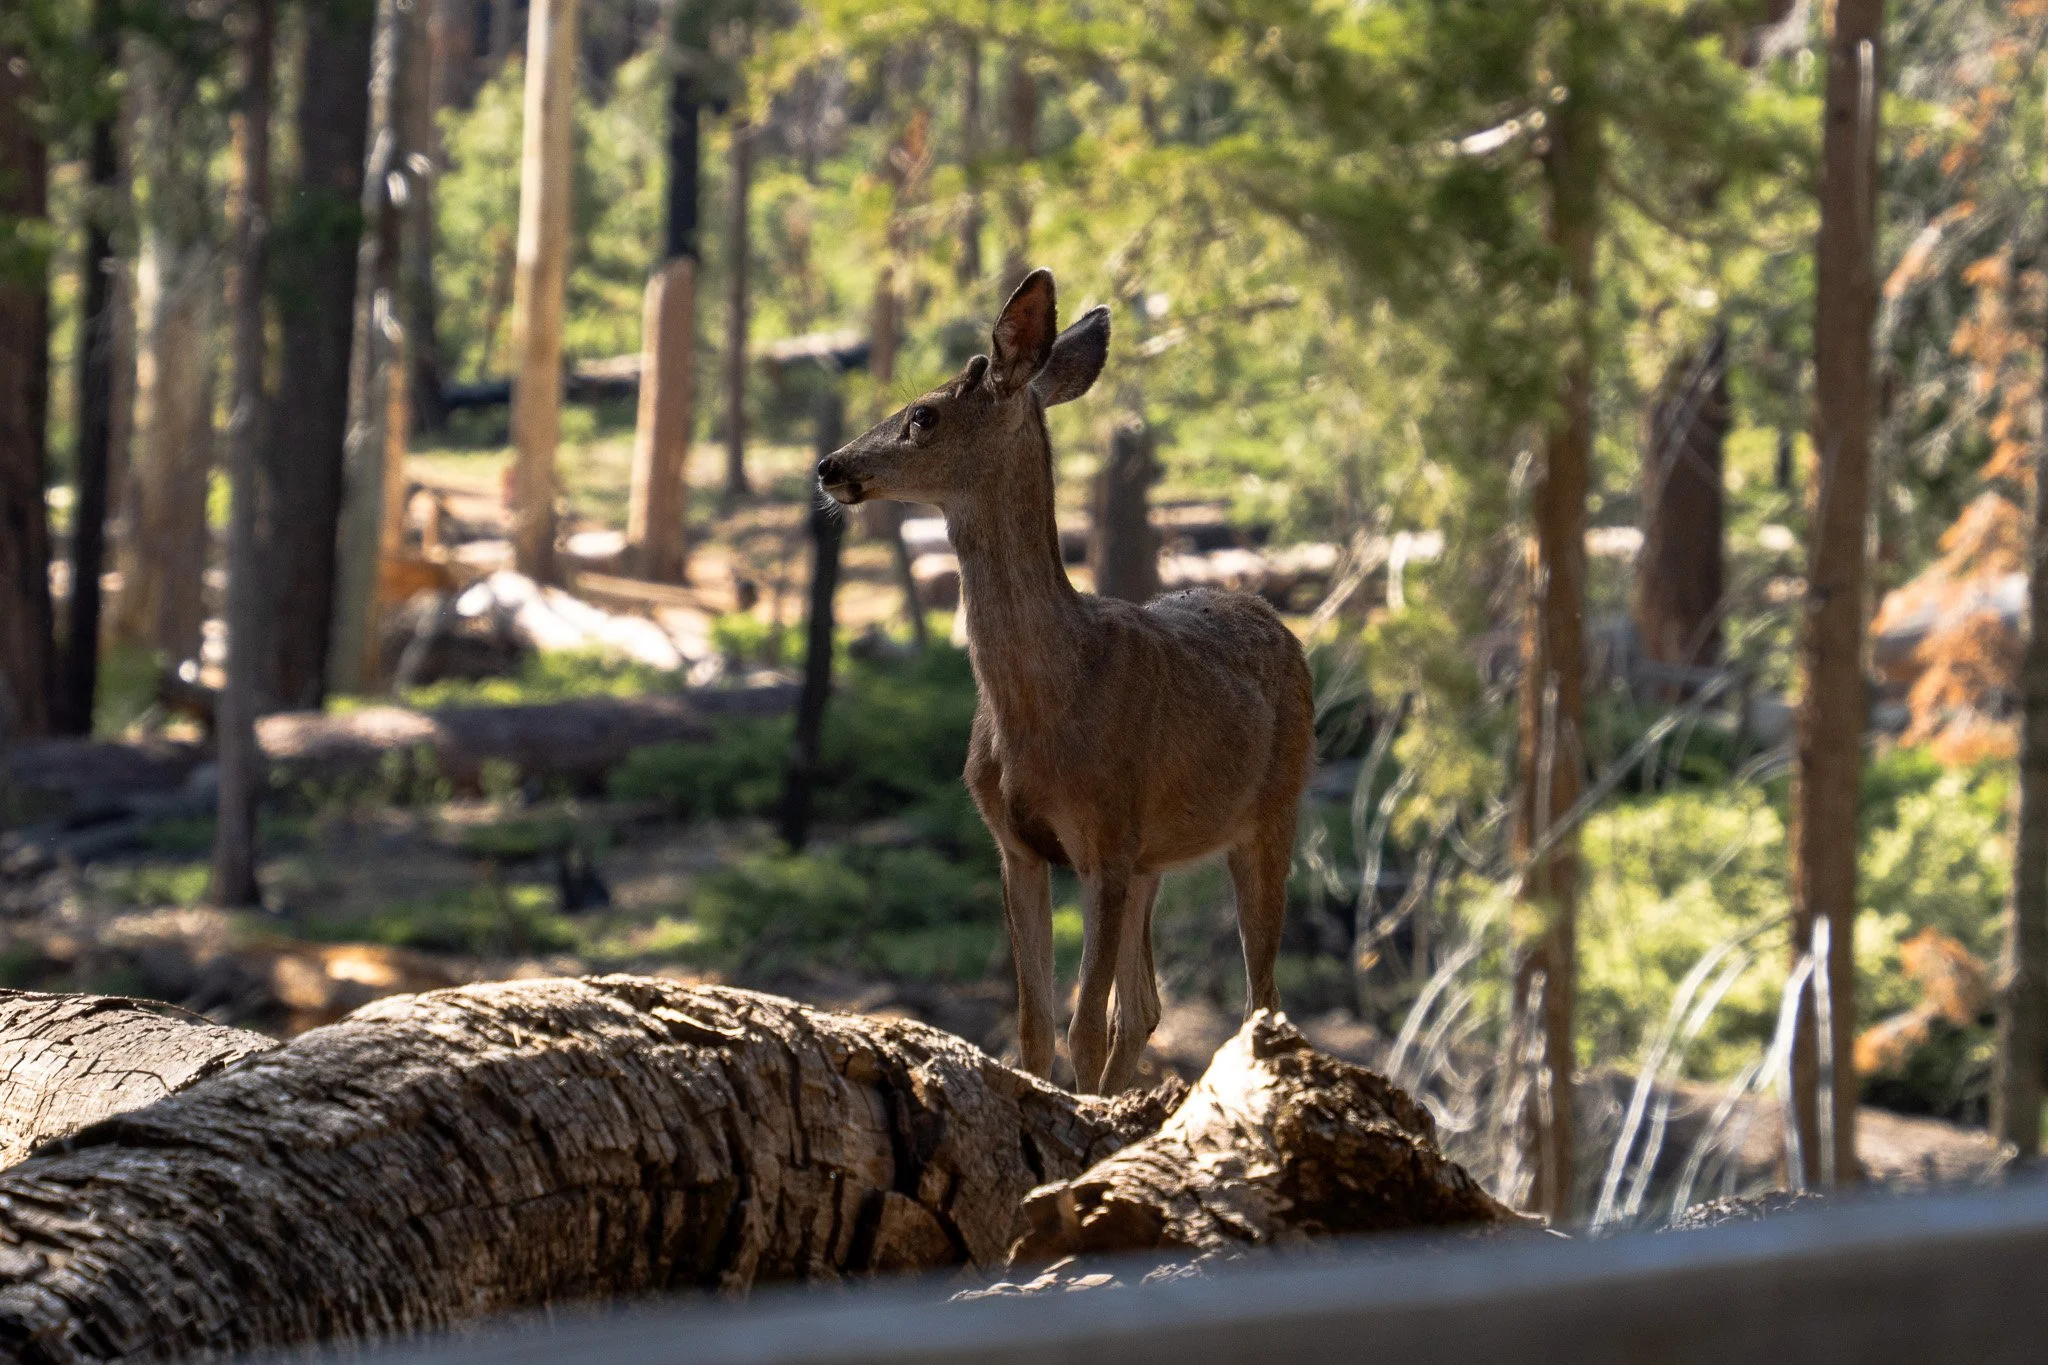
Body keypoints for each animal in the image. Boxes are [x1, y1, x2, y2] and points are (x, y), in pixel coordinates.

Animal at [815, 269, 1314, 1094]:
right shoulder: (1017, 844)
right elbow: (1034, 1024)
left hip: (1273, 810)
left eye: (923, 415)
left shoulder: (1106, 839)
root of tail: (1276, 618)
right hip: (1156, 856)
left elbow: (1081, 1023)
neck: (1043, 703)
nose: (828, 466)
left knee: (1260, 999)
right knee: (1145, 1007)